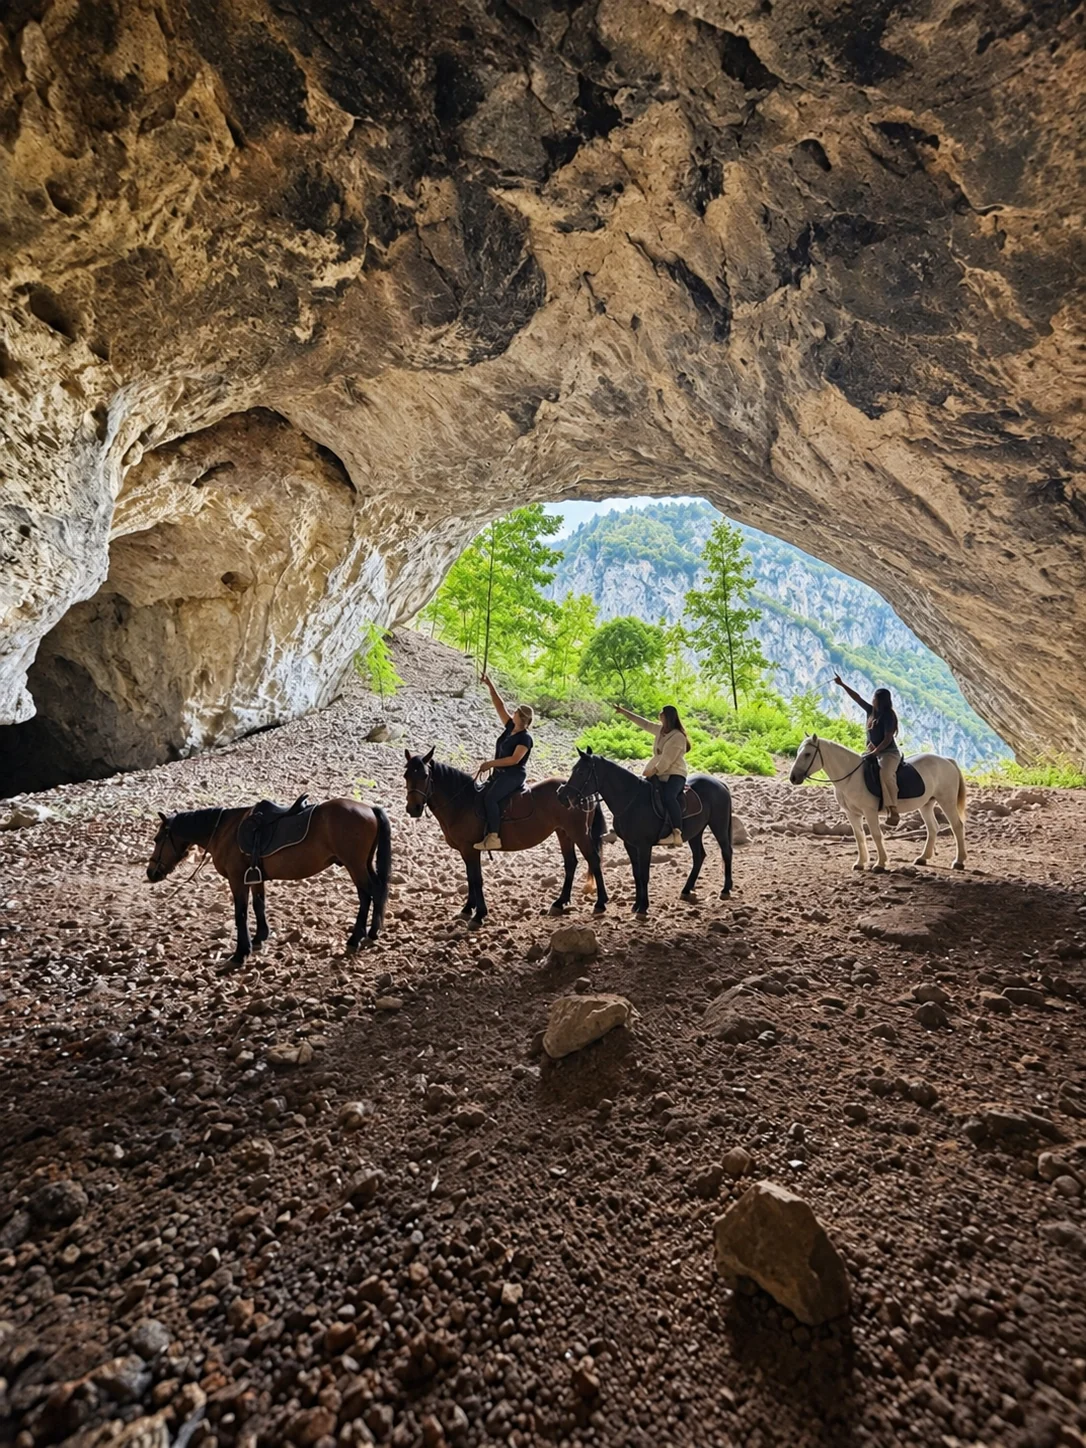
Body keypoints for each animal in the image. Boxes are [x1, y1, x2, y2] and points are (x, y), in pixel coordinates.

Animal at [146, 798, 392, 962]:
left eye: (157, 839)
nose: (151, 873)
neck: (225, 830)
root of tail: (369, 809)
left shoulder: (237, 879)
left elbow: (241, 914)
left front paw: (241, 951)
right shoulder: (254, 878)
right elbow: (259, 905)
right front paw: (260, 937)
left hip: (355, 866)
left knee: (370, 894)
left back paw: (360, 936)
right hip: (363, 864)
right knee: (373, 893)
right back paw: (367, 933)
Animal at [403, 749, 608, 928]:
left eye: (424, 776)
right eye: (406, 775)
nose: (413, 808)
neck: (462, 803)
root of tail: (581, 792)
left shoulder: (470, 849)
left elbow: (476, 879)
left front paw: (479, 914)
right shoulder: (465, 850)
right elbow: (470, 877)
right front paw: (468, 908)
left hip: (579, 833)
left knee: (593, 860)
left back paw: (600, 902)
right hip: (564, 833)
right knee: (571, 863)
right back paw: (560, 902)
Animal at [557, 748, 733, 916]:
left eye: (581, 772)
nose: (562, 796)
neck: (631, 800)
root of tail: (720, 783)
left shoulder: (644, 846)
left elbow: (644, 875)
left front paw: (643, 906)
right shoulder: (630, 845)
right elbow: (637, 874)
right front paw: (636, 904)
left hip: (719, 825)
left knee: (726, 851)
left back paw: (725, 889)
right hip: (696, 833)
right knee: (699, 856)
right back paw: (686, 890)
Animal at [789, 734, 966, 872]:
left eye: (807, 754)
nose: (793, 778)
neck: (851, 776)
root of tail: (947, 761)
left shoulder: (869, 812)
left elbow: (875, 835)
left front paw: (880, 864)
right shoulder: (852, 813)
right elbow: (859, 836)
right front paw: (860, 863)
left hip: (946, 801)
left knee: (956, 826)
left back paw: (959, 861)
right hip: (926, 804)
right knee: (933, 828)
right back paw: (923, 858)